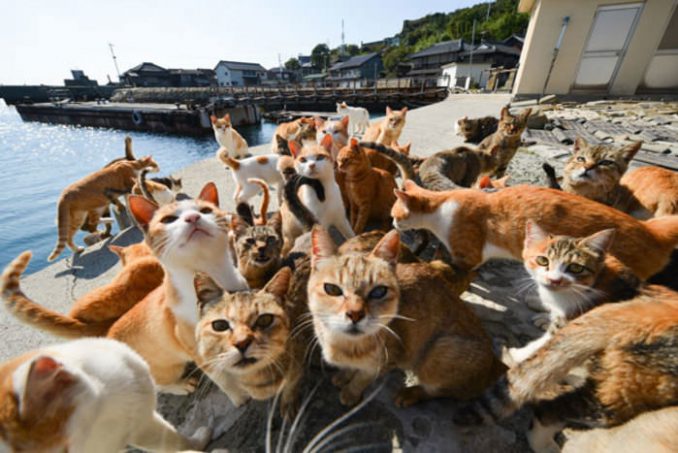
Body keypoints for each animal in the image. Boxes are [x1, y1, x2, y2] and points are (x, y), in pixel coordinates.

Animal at [193, 266, 306, 418]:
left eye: (265, 320)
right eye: (220, 325)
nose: (242, 343)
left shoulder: (298, 363)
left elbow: (291, 385)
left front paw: (288, 403)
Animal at [308, 226, 504, 406]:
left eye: (379, 292)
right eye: (332, 289)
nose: (355, 314)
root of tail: (495, 362)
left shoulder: (389, 360)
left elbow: (363, 377)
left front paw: (351, 392)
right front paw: (344, 376)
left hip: (440, 350)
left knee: (445, 391)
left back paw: (409, 394)